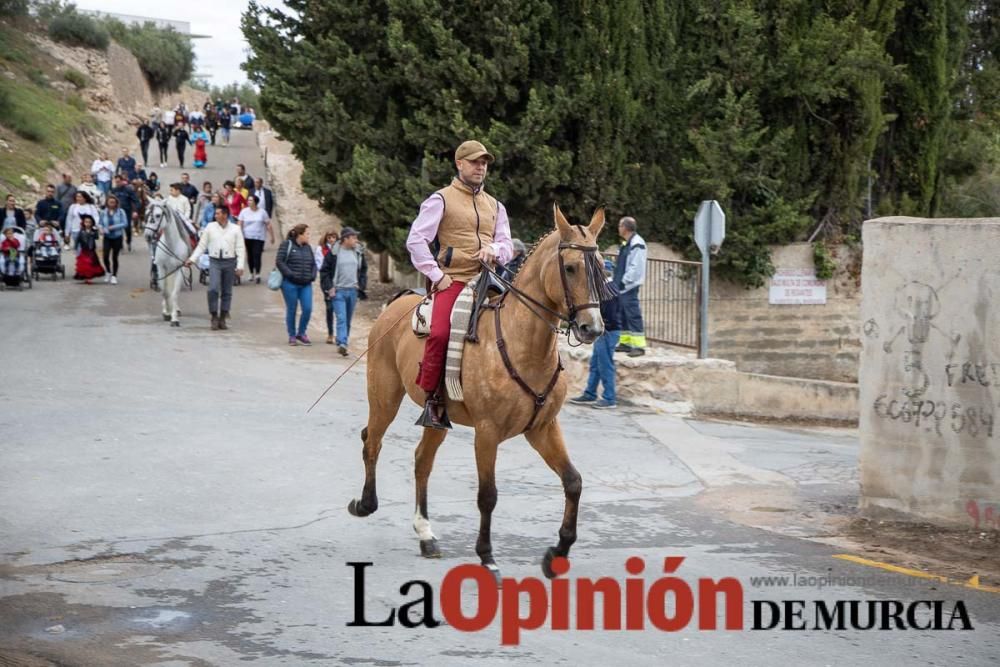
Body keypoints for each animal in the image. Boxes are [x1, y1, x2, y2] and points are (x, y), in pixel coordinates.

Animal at [144, 200, 194, 328]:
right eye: (146, 214)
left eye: (157, 215)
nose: (147, 236)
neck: (172, 245)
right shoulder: (161, 268)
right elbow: (165, 292)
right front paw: (167, 313)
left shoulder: (179, 269)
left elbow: (174, 293)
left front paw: (174, 318)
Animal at [352, 202, 616, 580]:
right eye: (570, 267)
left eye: (601, 271)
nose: (591, 328)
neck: (522, 344)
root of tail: (396, 305)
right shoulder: (487, 433)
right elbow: (488, 495)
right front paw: (487, 556)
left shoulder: (542, 428)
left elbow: (573, 482)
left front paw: (557, 551)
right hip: (384, 397)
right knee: (372, 441)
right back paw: (365, 503)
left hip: (436, 417)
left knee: (421, 461)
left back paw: (426, 534)